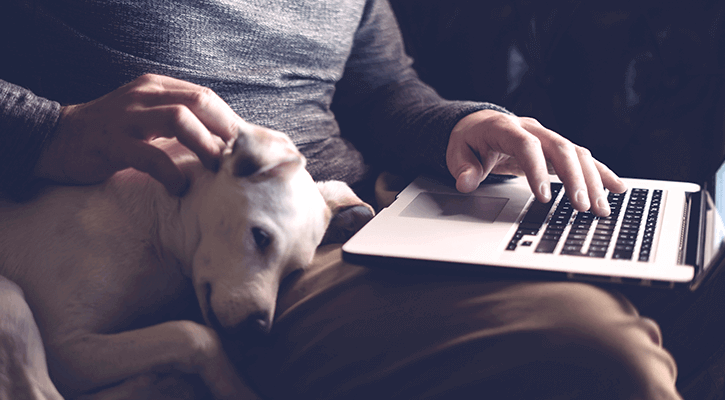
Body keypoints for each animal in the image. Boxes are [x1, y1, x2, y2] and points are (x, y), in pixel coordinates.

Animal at [0, 122, 374, 400]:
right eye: (261, 237)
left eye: (294, 271)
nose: (257, 331)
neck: (157, 241)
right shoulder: (66, 347)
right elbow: (195, 334)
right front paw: (236, 388)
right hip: (12, 299)